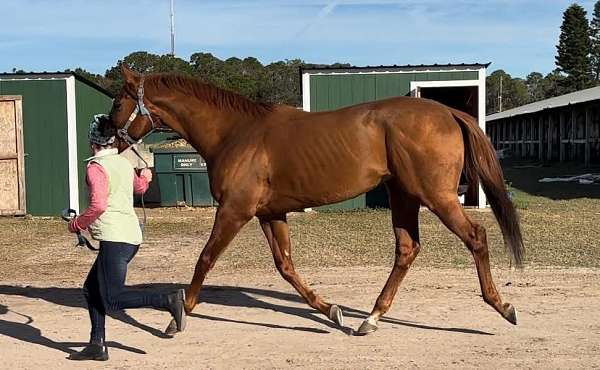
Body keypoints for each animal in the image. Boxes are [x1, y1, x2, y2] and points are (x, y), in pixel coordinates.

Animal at [110, 66, 524, 336]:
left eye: (116, 102)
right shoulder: (270, 214)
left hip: (434, 196)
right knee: (407, 249)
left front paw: (177, 317)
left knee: (476, 237)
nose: (107, 137)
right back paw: (370, 318)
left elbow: (205, 259)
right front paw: (331, 311)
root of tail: (448, 111)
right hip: (404, 196)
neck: (236, 133)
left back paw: (503, 307)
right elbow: (286, 267)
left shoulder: (234, 211)